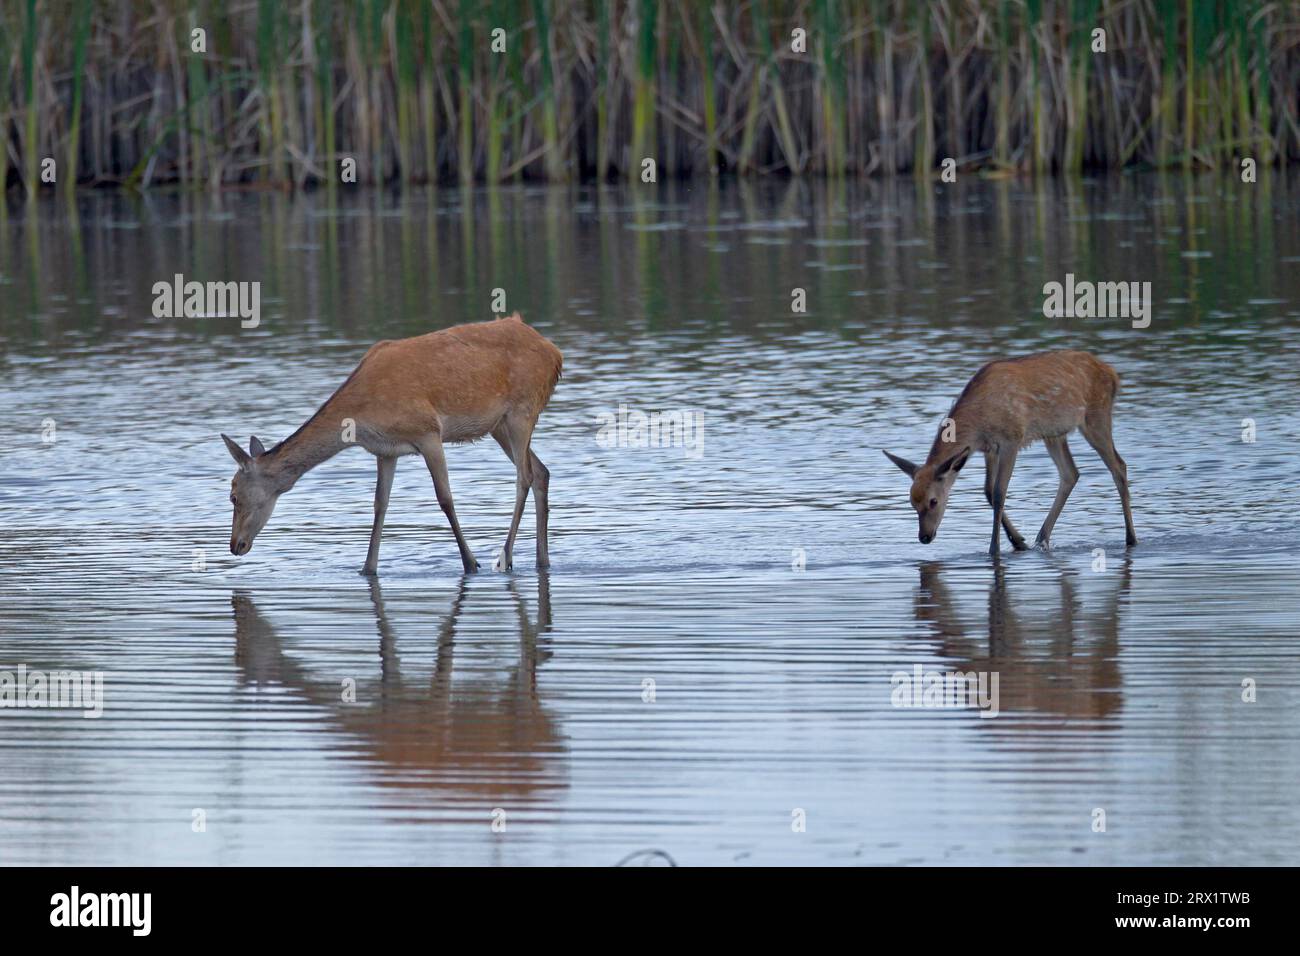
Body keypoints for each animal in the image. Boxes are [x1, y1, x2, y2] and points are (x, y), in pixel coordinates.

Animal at [223, 312, 559, 574]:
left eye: (234, 496)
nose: (235, 545)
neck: (361, 415)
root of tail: (555, 352)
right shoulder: (385, 451)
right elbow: (379, 504)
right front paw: (367, 568)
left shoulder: (428, 432)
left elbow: (445, 498)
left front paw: (470, 562)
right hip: (499, 425)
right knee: (541, 471)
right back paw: (542, 560)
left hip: (522, 409)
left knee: (524, 477)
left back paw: (505, 557)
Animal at [883, 351, 1138, 556]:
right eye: (912, 502)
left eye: (933, 501)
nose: (924, 537)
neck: (977, 425)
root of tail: (1113, 374)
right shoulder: (989, 449)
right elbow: (987, 491)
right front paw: (1019, 541)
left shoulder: (1011, 439)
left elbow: (999, 492)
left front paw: (994, 548)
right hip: (1054, 433)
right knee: (1071, 473)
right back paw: (1041, 539)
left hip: (1096, 417)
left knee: (1119, 466)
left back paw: (1131, 538)